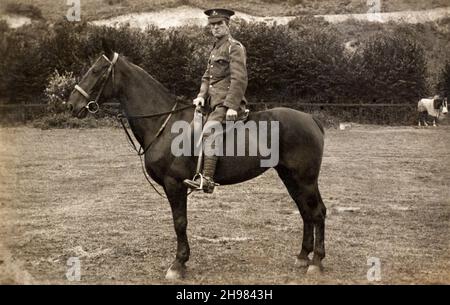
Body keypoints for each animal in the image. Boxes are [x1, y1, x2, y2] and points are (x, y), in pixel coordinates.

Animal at [67, 45, 326, 280]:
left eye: (95, 71)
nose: (72, 105)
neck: (164, 123)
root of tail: (310, 118)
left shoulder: (174, 184)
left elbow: (180, 223)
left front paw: (178, 264)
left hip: (305, 179)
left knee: (317, 212)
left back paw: (316, 261)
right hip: (290, 177)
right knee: (305, 211)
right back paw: (303, 257)